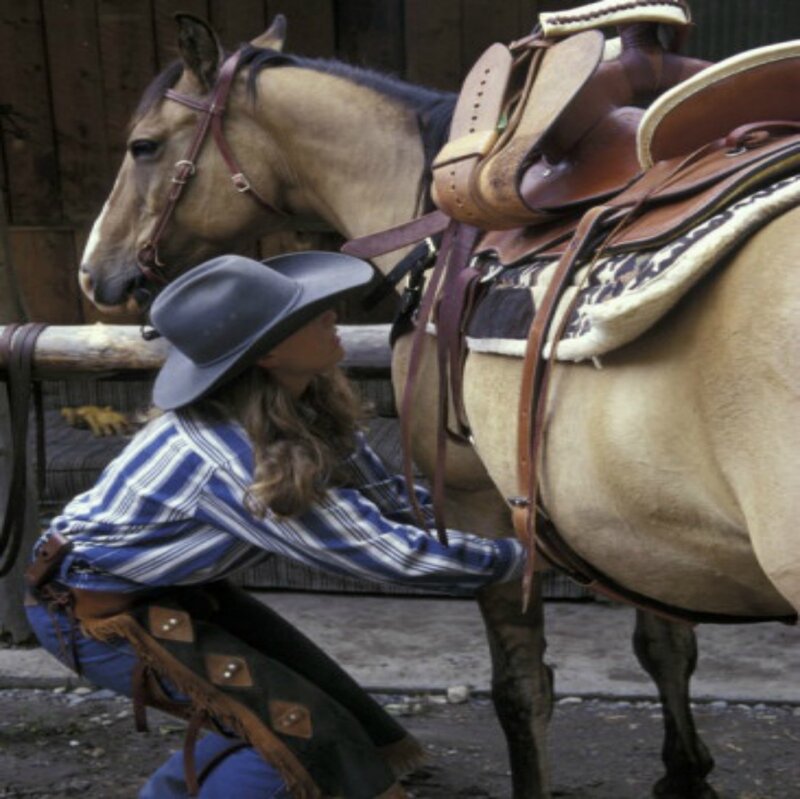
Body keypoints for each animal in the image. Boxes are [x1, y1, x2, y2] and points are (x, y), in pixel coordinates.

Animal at [77, 14, 798, 799]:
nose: (94, 270)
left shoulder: (479, 504)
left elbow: (521, 689)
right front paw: (685, 773)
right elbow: (664, 645)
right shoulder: (633, 523)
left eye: (145, 145)